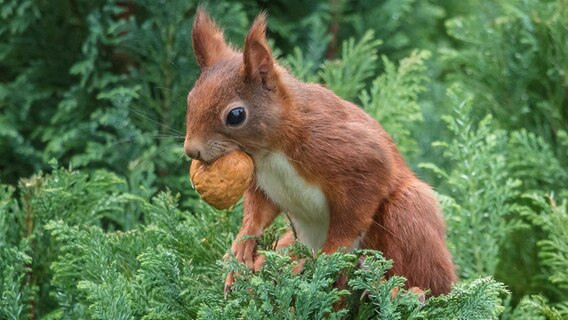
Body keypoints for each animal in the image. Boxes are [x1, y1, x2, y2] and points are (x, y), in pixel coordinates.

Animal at [186, 8, 458, 298]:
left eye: (236, 115)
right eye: (190, 99)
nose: (191, 150)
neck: (271, 152)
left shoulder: (350, 154)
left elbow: (353, 215)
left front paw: (329, 255)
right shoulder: (263, 181)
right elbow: (259, 211)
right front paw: (242, 245)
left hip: (409, 215)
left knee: (426, 274)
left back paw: (404, 290)